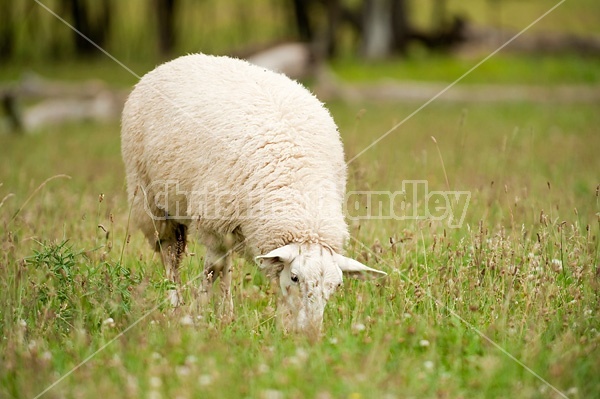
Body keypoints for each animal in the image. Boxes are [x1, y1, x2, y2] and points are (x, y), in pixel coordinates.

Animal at [119, 53, 386, 334]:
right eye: (295, 277)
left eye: (336, 286)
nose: (310, 334)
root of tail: (180, 60)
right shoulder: (213, 222)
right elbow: (212, 271)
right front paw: (200, 315)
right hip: (149, 198)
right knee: (171, 254)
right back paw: (176, 305)